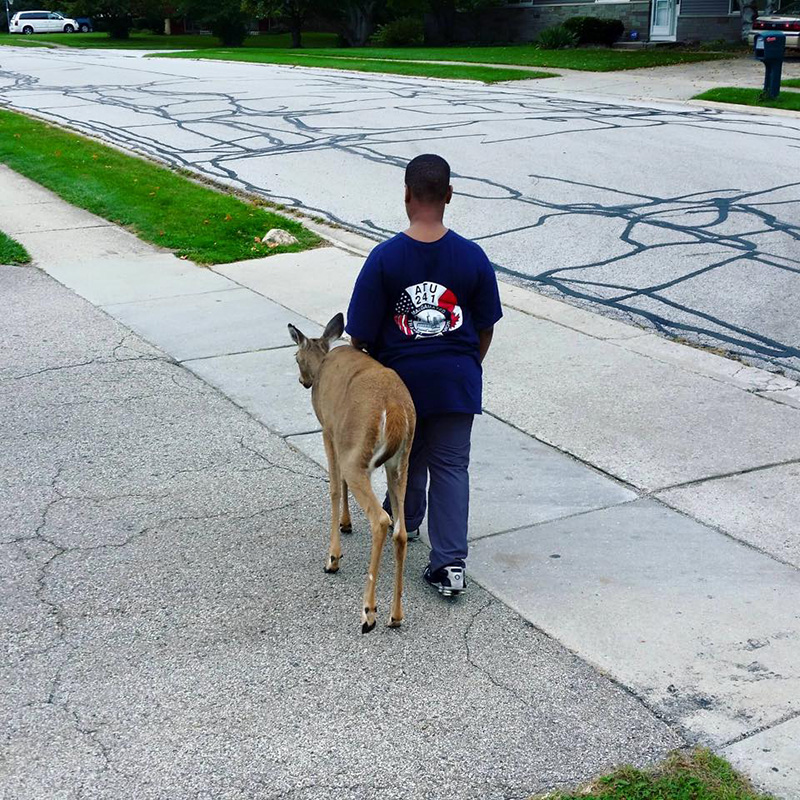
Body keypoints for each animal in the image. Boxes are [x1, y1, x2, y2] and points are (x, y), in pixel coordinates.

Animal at [288, 312, 416, 632]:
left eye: (295, 356)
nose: (303, 381)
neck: (322, 362)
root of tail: (395, 408)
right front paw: (346, 524)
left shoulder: (329, 430)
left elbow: (334, 487)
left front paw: (333, 556)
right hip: (401, 462)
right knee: (400, 530)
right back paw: (395, 615)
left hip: (358, 452)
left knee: (380, 520)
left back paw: (368, 612)